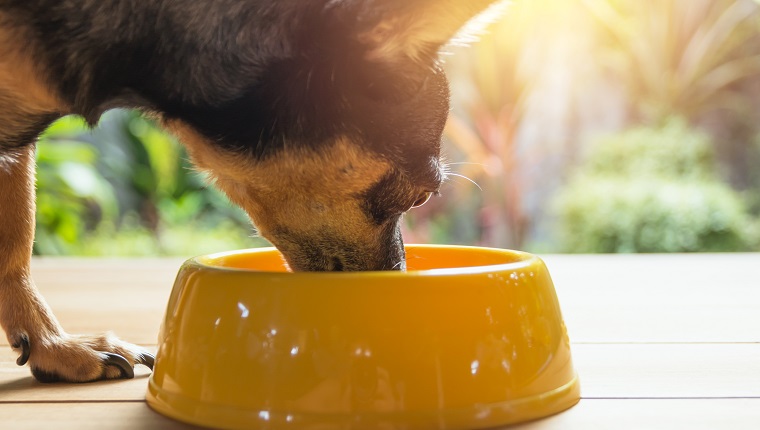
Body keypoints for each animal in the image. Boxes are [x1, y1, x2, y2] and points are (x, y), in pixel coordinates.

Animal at [0, 0, 502, 382]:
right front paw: (56, 343)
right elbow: (19, 236)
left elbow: (14, 241)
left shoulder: (14, 144)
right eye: (421, 198)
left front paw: (52, 345)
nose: (397, 288)